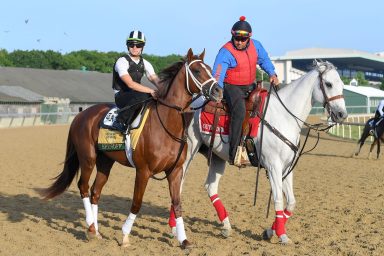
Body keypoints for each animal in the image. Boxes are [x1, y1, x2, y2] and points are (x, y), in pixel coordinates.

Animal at [41, 49, 222, 249]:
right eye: (197, 71)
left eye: (210, 69)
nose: (218, 91)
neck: (165, 124)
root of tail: (80, 116)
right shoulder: (143, 171)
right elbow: (136, 203)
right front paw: (125, 235)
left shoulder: (175, 171)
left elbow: (177, 204)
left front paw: (184, 240)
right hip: (88, 158)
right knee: (84, 187)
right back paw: (90, 228)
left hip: (105, 161)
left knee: (96, 192)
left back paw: (97, 231)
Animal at [168, 59, 348, 244]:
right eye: (328, 84)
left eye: (341, 85)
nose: (342, 114)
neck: (284, 117)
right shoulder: (273, 166)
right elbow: (278, 200)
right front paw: (282, 235)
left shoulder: (287, 168)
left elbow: (291, 202)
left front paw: (269, 231)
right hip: (188, 153)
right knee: (178, 187)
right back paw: (175, 229)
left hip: (218, 158)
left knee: (210, 187)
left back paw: (226, 227)